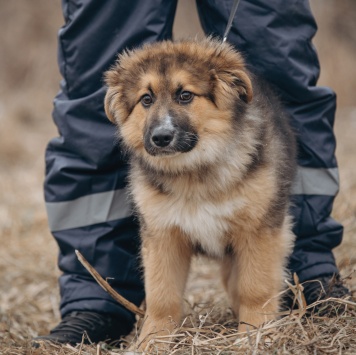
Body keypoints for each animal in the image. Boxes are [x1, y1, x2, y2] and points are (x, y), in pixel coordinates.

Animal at [104, 36, 296, 350]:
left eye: (185, 95)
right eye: (146, 99)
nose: (160, 138)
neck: (193, 171)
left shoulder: (259, 230)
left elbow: (256, 287)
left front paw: (255, 335)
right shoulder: (162, 235)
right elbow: (162, 296)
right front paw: (152, 342)